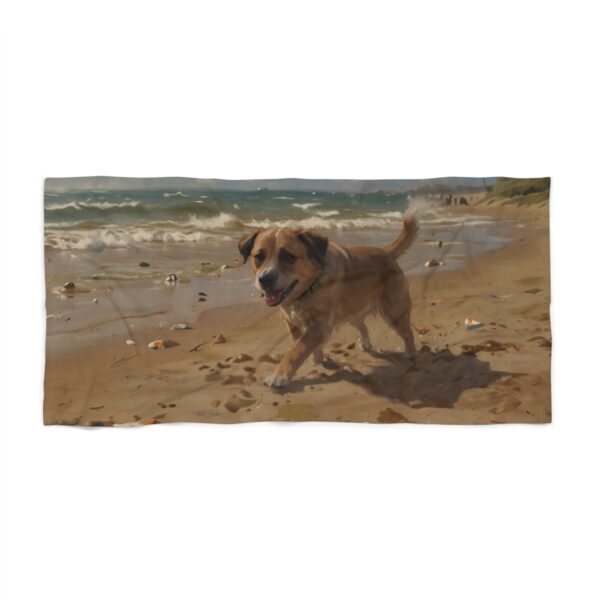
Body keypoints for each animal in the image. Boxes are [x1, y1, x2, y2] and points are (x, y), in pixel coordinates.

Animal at [238, 211, 418, 390]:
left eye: (288, 256)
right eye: (258, 256)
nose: (265, 279)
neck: (308, 289)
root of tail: (386, 251)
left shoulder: (319, 325)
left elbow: (295, 351)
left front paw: (279, 376)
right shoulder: (292, 323)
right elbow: (300, 345)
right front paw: (317, 358)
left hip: (394, 312)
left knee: (408, 333)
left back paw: (409, 355)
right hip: (352, 312)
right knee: (363, 326)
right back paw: (366, 344)